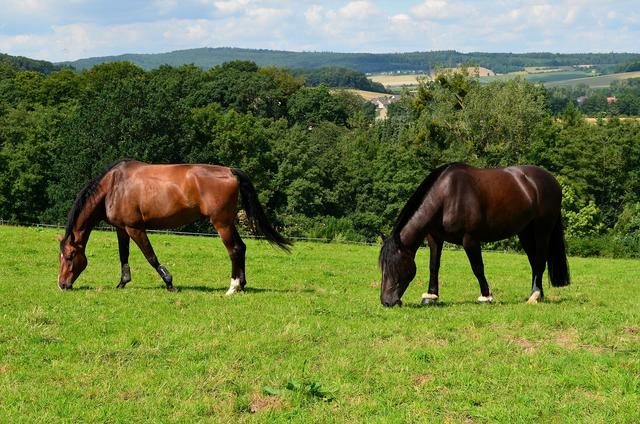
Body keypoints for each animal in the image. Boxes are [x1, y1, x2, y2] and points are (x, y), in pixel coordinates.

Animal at [57, 159, 290, 293]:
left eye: (70, 256)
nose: (62, 284)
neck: (114, 186)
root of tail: (230, 172)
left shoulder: (135, 228)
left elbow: (151, 257)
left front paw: (169, 283)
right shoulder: (122, 228)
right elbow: (123, 256)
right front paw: (122, 283)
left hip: (221, 223)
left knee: (233, 250)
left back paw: (232, 287)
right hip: (228, 222)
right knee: (241, 248)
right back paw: (241, 285)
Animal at [379, 163, 570, 307]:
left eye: (395, 266)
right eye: (382, 267)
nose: (387, 302)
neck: (447, 195)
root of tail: (552, 180)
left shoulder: (469, 239)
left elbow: (477, 267)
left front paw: (486, 296)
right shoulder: (435, 238)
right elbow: (433, 266)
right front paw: (430, 296)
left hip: (542, 230)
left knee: (539, 261)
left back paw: (535, 296)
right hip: (525, 232)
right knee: (534, 261)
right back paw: (538, 294)